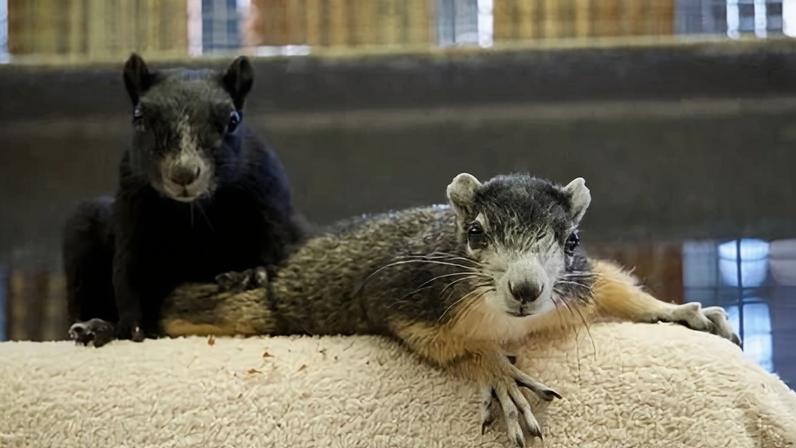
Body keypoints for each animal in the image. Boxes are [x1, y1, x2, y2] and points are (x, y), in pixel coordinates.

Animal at [63, 54, 305, 347]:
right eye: (138, 117)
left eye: (233, 120)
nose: (183, 173)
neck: (192, 209)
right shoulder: (132, 205)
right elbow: (128, 273)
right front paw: (131, 326)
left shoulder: (268, 194)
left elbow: (276, 245)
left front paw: (254, 273)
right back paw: (96, 327)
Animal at [160, 173, 738, 447]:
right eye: (475, 233)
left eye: (572, 240)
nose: (527, 289)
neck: (507, 320)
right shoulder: (407, 296)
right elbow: (451, 343)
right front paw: (497, 371)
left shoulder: (576, 285)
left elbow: (618, 288)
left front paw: (683, 311)